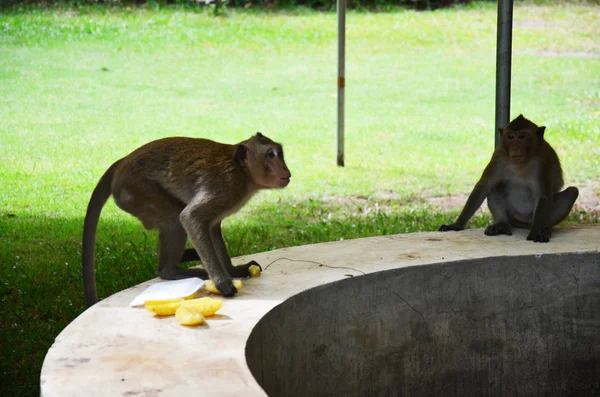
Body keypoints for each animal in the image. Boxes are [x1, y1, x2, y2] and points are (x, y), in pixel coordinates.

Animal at [81, 133, 290, 306]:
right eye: (270, 155)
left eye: (279, 153)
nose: (286, 170)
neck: (242, 173)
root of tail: (122, 162)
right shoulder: (226, 187)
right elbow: (190, 217)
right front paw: (221, 281)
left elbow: (212, 227)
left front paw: (231, 270)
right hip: (135, 189)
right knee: (174, 218)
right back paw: (171, 271)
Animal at [438, 113, 580, 241]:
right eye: (511, 137)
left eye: (522, 136)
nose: (515, 147)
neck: (519, 164)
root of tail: (522, 222)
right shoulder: (498, 156)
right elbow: (484, 186)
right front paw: (456, 225)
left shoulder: (540, 163)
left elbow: (543, 195)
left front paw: (535, 233)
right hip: (512, 215)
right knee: (496, 187)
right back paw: (502, 225)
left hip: (535, 217)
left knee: (572, 192)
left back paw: (544, 228)